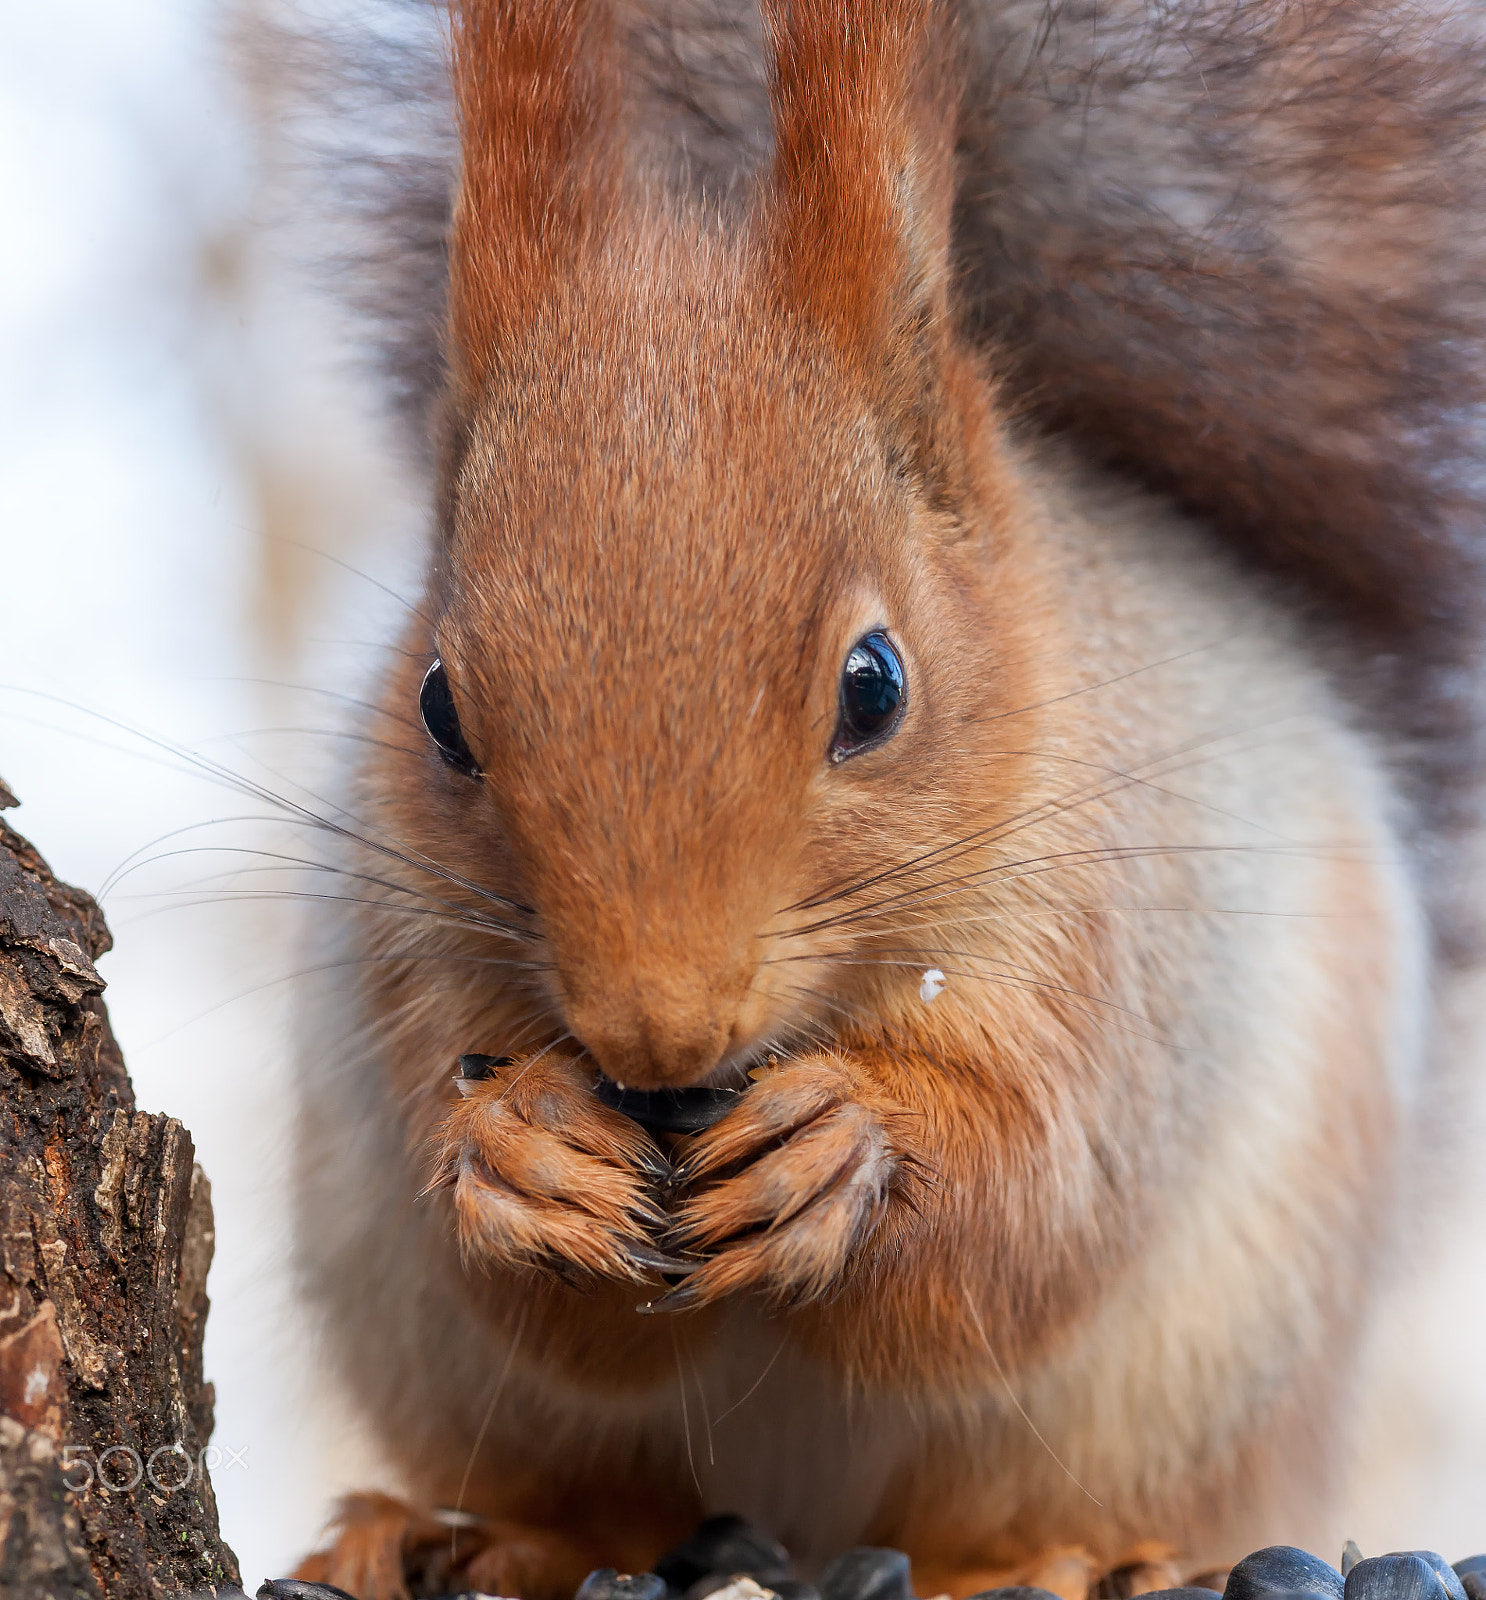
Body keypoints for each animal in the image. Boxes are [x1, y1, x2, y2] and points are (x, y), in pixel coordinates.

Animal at [281, 3, 1484, 1600]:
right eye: (435, 708)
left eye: (875, 685)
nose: (658, 1036)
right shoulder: (407, 950)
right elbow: (546, 1301)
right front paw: (517, 1154)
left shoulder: (1128, 952)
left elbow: (1040, 1207)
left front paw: (846, 1155)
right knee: (606, 1499)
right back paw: (467, 1536)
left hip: (1203, 1388)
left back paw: (1061, 1559)